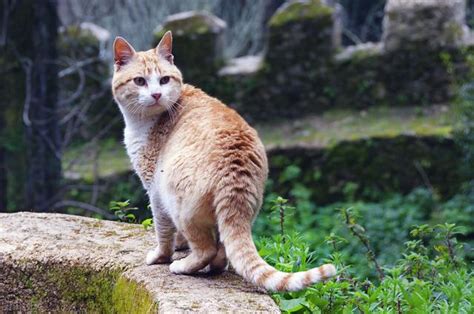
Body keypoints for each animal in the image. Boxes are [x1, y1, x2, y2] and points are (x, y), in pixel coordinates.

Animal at [111, 30, 336, 290]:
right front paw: (180, 245)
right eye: (140, 81)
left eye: (164, 80)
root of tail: (236, 172)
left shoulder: (155, 191)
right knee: (222, 252)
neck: (146, 121)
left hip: (176, 201)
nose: (157, 94)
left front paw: (161, 256)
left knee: (207, 249)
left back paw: (182, 266)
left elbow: (163, 231)